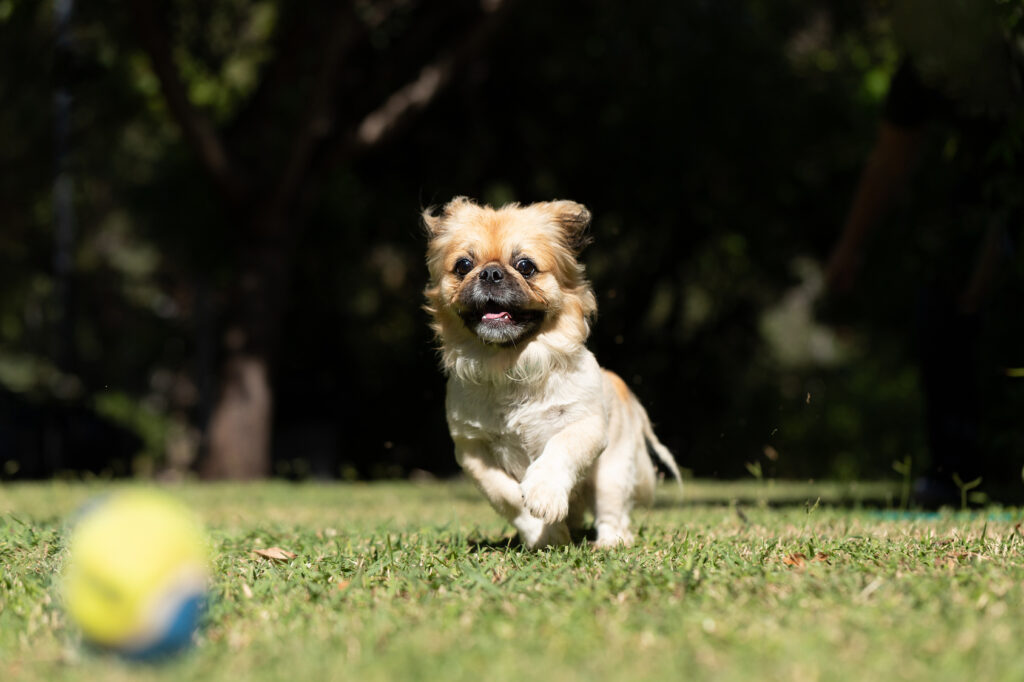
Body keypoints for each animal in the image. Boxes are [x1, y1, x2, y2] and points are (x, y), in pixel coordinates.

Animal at [423, 196, 679, 548]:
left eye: (525, 266)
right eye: (463, 266)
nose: (490, 272)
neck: (509, 365)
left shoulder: (585, 425)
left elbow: (559, 450)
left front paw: (544, 495)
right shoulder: (473, 450)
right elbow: (505, 495)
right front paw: (544, 533)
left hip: (611, 473)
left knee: (613, 513)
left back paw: (609, 543)